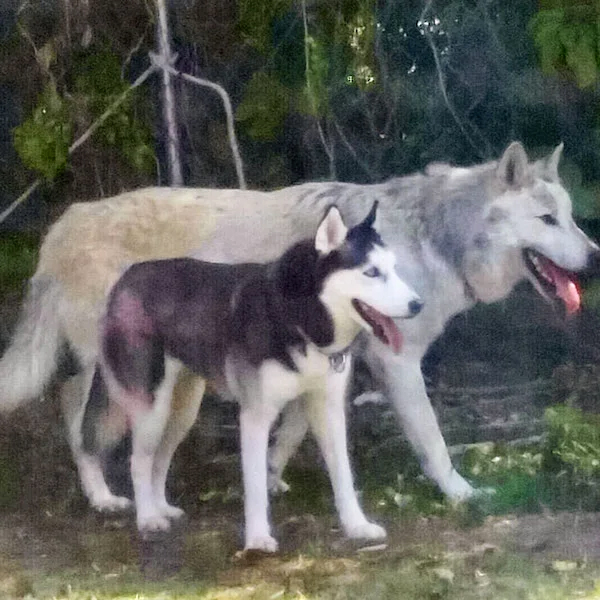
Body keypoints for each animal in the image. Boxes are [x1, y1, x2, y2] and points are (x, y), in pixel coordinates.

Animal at [1, 139, 596, 510]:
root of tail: (64, 223)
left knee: (69, 405)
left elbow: (289, 433)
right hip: (127, 373)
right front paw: (461, 495)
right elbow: (433, 441)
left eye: (569, 217)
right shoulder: (397, 363)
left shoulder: (334, 362)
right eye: (547, 220)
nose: (594, 258)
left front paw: (267, 479)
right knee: (79, 416)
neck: (433, 236)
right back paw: (105, 498)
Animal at [83, 204, 422, 552]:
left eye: (394, 268)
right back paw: (146, 516)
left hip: (182, 411)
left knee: (159, 458)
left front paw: (356, 525)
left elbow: (343, 474)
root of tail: (125, 279)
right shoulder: (256, 416)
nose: (417, 305)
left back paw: (159, 506)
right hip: (151, 408)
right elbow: (257, 484)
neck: (299, 318)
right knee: (137, 460)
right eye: (371, 272)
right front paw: (258, 538)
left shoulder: (328, 410)